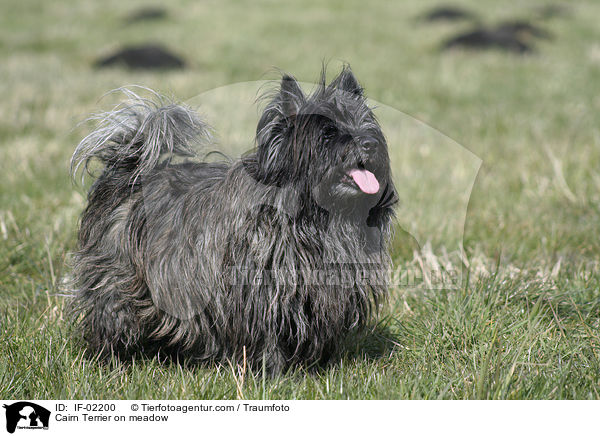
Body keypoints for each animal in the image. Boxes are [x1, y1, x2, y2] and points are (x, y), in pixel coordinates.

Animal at [70, 66, 396, 372]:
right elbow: (267, 334)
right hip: (119, 278)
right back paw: (110, 359)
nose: (369, 143)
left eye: (366, 125)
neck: (316, 218)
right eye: (328, 133)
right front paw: (272, 373)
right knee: (111, 313)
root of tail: (129, 177)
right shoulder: (260, 291)